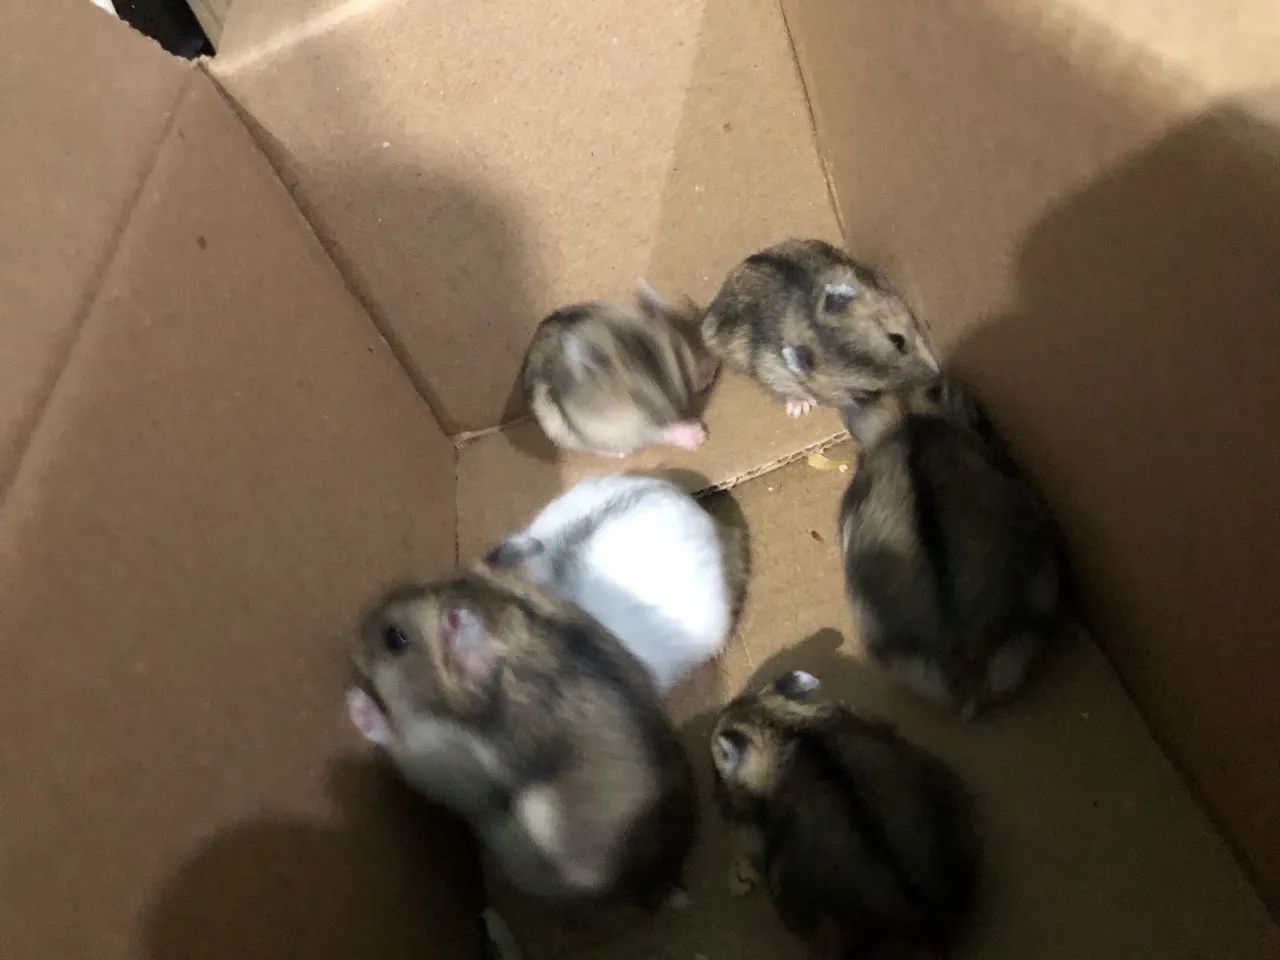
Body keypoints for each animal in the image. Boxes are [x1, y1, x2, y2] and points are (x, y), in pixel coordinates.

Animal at [345, 565, 695, 909]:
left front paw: (356, 702)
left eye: (395, 638)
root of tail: (662, 878)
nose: (353, 642)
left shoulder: (442, 759)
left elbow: (397, 742)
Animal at [522, 284, 717, 457]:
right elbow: (656, 432)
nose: (681, 409)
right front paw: (700, 435)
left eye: (678, 354)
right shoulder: (624, 426)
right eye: (637, 395)